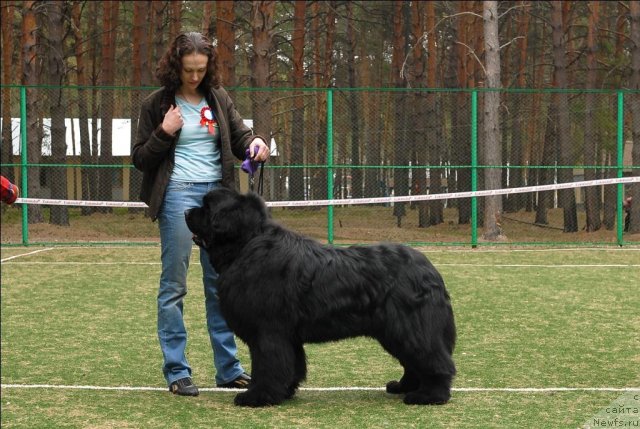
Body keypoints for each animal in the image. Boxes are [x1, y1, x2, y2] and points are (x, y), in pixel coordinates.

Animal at [184, 187, 456, 404]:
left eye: (207, 207)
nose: (186, 211)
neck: (247, 245)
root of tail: (429, 268)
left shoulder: (268, 331)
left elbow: (268, 365)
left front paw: (258, 396)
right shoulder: (287, 335)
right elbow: (291, 366)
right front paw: (284, 392)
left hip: (409, 326)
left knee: (434, 360)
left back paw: (429, 395)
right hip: (396, 330)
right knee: (413, 360)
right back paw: (404, 387)